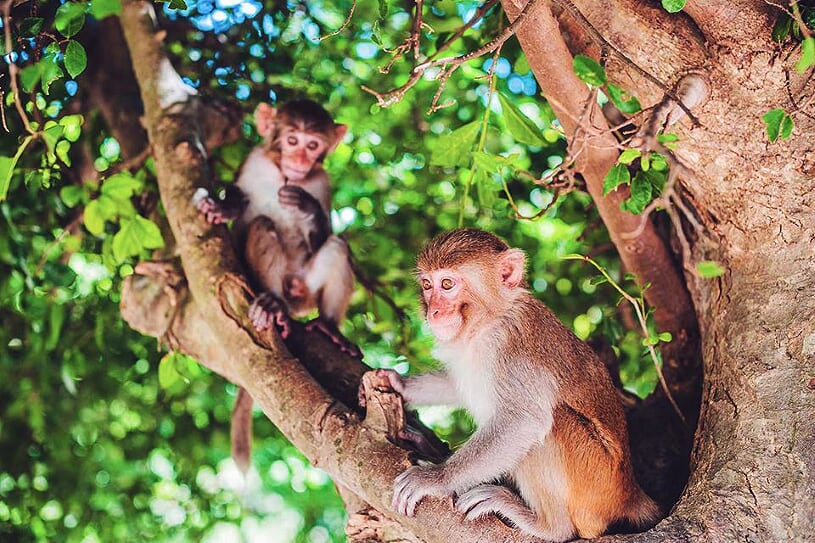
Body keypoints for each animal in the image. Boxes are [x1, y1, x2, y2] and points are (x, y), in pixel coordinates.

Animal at [379, 228, 660, 541]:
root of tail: (630, 492)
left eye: (447, 284)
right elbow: (457, 384)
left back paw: (548, 526)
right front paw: (399, 383)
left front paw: (436, 479)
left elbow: (523, 421)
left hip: (594, 485)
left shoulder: (511, 350)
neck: (489, 321)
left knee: (551, 424)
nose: (434, 312)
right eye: (427, 285)